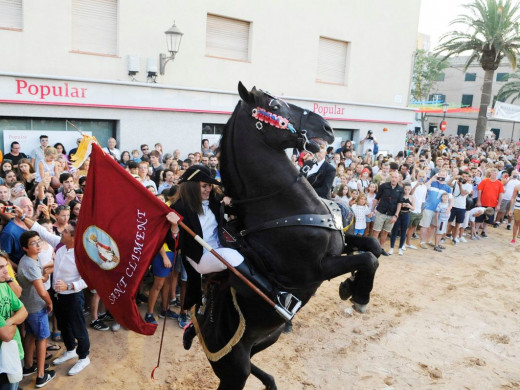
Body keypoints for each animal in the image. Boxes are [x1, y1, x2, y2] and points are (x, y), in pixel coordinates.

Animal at [193, 83, 380, 390]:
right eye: (276, 106)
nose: (328, 128)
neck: (281, 208)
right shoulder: (316, 269)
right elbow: (367, 259)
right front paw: (360, 295)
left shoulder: (339, 243)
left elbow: (372, 247)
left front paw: (352, 286)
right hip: (234, 368)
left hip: (265, 339)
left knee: (256, 363)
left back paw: (270, 382)